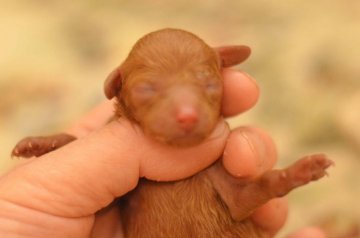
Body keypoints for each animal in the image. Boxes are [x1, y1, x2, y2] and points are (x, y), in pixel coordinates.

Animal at [11, 28, 332, 237]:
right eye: (145, 89)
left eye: (210, 84)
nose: (187, 115)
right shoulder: (122, 196)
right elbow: (76, 142)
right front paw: (43, 143)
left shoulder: (229, 191)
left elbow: (257, 189)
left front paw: (301, 170)